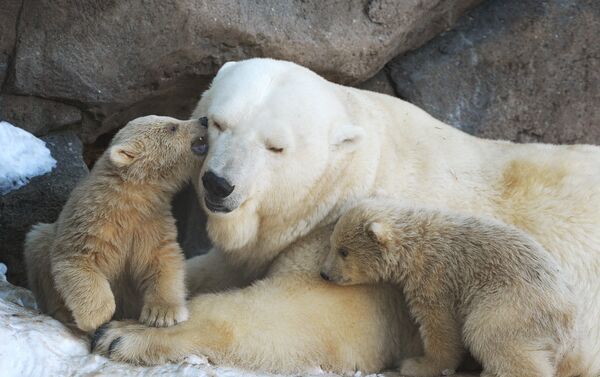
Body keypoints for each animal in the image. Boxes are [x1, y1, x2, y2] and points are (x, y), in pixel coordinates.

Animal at [92, 57, 600, 374]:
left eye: (275, 147)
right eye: (216, 123)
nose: (218, 184)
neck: (358, 166)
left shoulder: (358, 238)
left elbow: (317, 316)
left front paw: (123, 334)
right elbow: (214, 268)